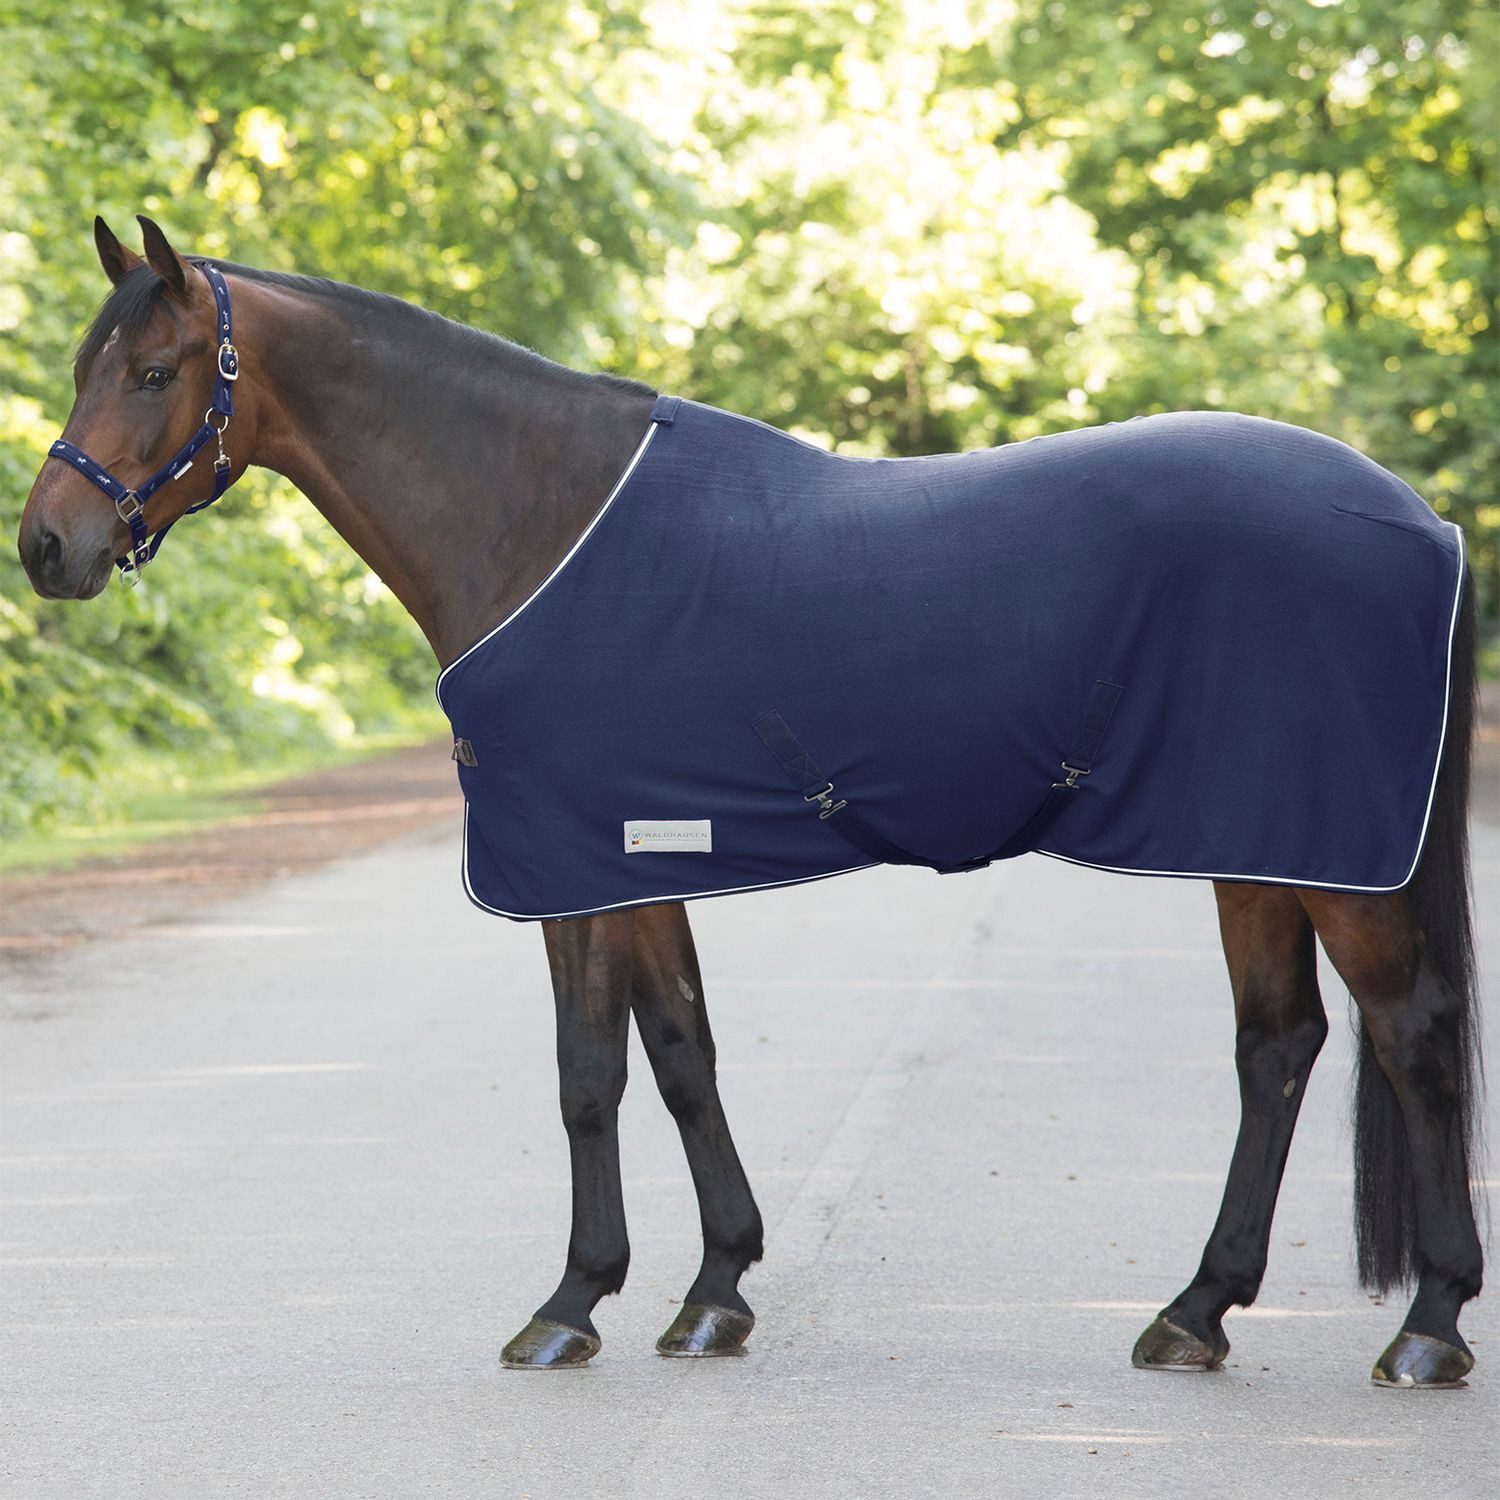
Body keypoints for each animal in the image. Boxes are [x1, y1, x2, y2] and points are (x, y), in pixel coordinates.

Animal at [17, 216, 1483, 1388]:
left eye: (153, 372)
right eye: (87, 366)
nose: (45, 547)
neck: (537, 517)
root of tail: (1423, 518)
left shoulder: (573, 864)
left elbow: (589, 1075)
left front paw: (569, 1305)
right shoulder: (643, 857)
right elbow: (681, 1053)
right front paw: (714, 1291)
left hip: (1324, 858)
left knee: (1408, 1036)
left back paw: (1428, 1327)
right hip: (1262, 848)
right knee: (1280, 1046)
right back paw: (1198, 1312)